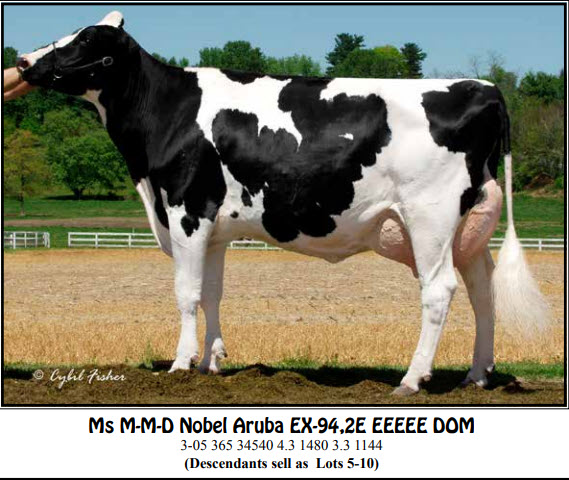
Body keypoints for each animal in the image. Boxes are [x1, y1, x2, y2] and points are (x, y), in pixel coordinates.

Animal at [15, 11, 549, 395]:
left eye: (85, 40)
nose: (21, 61)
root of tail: (483, 86)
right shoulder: (214, 228)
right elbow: (212, 293)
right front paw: (211, 363)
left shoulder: (186, 211)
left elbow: (186, 293)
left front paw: (181, 365)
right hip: (469, 225)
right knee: (482, 292)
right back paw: (477, 375)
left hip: (430, 217)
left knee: (439, 291)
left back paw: (412, 380)